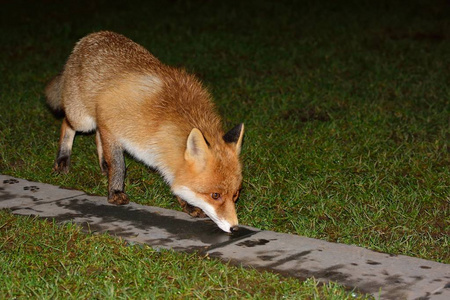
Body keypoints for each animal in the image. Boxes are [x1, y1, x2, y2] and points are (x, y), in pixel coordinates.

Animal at [44, 31, 244, 232]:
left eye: (235, 195)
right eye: (215, 195)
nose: (235, 229)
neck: (162, 124)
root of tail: (91, 36)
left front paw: (188, 205)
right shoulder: (113, 126)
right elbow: (119, 165)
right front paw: (115, 191)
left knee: (97, 136)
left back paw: (103, 165)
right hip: (83, 120)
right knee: (67, 123)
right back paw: (62, 160)